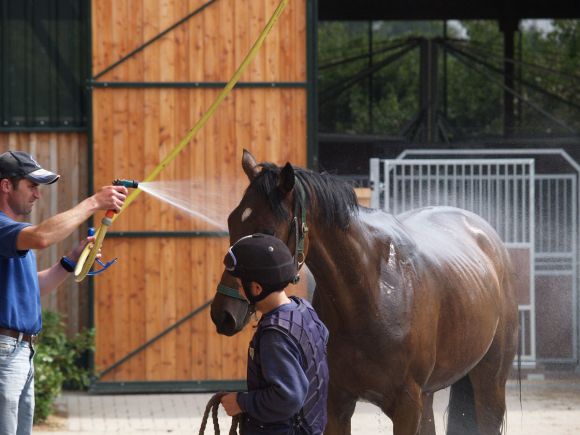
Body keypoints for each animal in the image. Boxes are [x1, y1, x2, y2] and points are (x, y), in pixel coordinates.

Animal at [211, 151, 520, 435]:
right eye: (232, 221)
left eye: (267, 231)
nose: (223, 313)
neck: (370, 296)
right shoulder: (337, 404)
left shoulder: (407, 406)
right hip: (430, 396)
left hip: (489, 383)